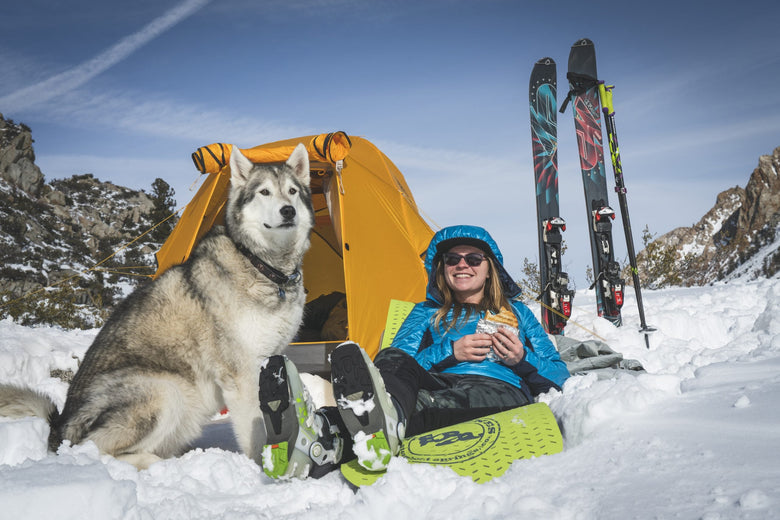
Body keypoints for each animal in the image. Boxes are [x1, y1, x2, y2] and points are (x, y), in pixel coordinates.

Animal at [0, 143, 314, 472]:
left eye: (292, 191)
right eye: (264, 192)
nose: (288, 211)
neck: (263, 267)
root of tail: (60, 426)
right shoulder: (241, 372)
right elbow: (256, 432)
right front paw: (260, 472)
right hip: (165, 391)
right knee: (92, 450)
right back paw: (157, 463)